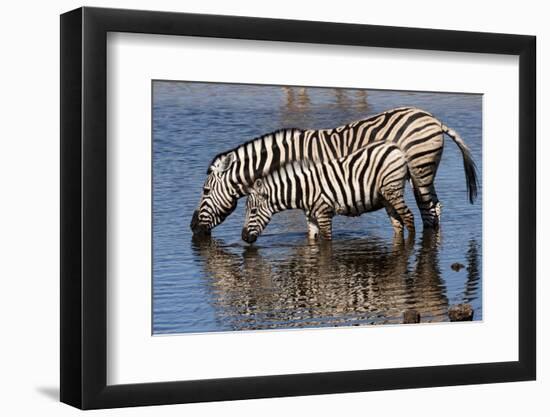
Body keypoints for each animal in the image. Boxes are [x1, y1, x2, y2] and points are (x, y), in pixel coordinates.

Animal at [242, 141, 418, 242]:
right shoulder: (311, 218)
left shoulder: (324, 213)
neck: (303, 190)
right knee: (398, 224)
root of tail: (396, 147)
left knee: (409, 217)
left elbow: (326, 243)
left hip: (392, 189)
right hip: (386, 197)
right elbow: (312, 240)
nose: (243, 238)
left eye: (253, 211)